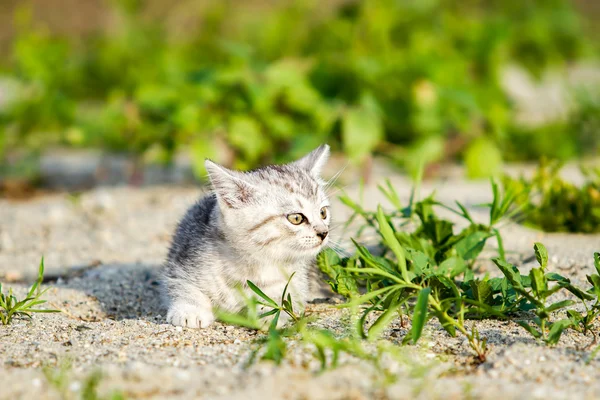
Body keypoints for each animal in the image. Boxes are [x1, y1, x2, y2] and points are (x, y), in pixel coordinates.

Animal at [163, 145, 332, 326]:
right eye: (296, 218)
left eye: (323, 213)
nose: (323, 232)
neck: (251, 265)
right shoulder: (182, 261)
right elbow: (183, 286)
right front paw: (189, 310)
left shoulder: (296, 282)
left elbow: (283, 299)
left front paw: (269, 312)